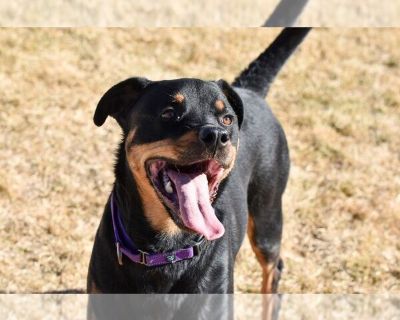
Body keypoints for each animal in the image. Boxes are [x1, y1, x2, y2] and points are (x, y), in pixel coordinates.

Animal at [87, 27, 310, 292]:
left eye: (227, 119)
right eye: (168, 113)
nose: (217, 136)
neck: (167, 250)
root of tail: (250, 90)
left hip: (267, 216)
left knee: (273, 268)